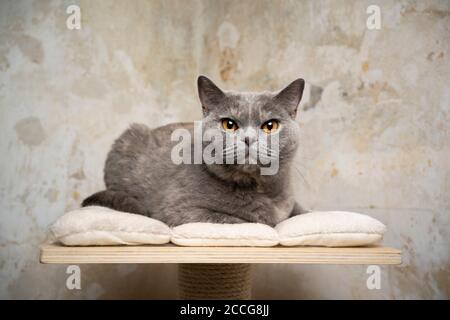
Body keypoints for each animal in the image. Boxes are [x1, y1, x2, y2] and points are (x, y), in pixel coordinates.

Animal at [81, 76, 308, 226]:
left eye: (270, 126)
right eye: (229, 124)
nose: (248, 139)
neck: (259, 189)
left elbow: (302, 212)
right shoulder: (180, 210)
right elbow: (241, 221)